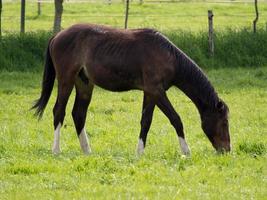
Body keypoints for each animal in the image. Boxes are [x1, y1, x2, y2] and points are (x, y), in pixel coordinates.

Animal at [32, 23, 231, 155]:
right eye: (224, 122)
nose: (227, 150)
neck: (166, 55)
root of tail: (57, 36)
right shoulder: (157, 91)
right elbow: (176, 119)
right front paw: (186, 151)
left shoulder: (150, 93)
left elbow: (146, 121)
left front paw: (139, 152)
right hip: (66, 80)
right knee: (59, 111)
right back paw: (56, 150)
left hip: (84, 84)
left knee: (78, 114)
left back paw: (87, 150)